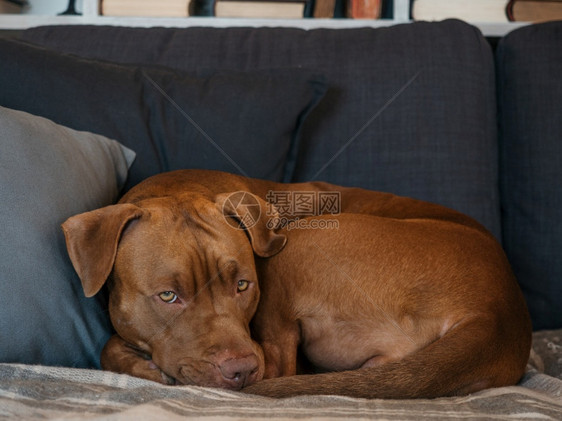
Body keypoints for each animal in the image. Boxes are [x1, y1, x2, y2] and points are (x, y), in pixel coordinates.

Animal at [61, 170, 528, 398]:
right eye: (168, 296)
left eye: (243, 285)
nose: (239, 369)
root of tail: (499, 311)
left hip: (297, 246)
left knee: (280, 364)